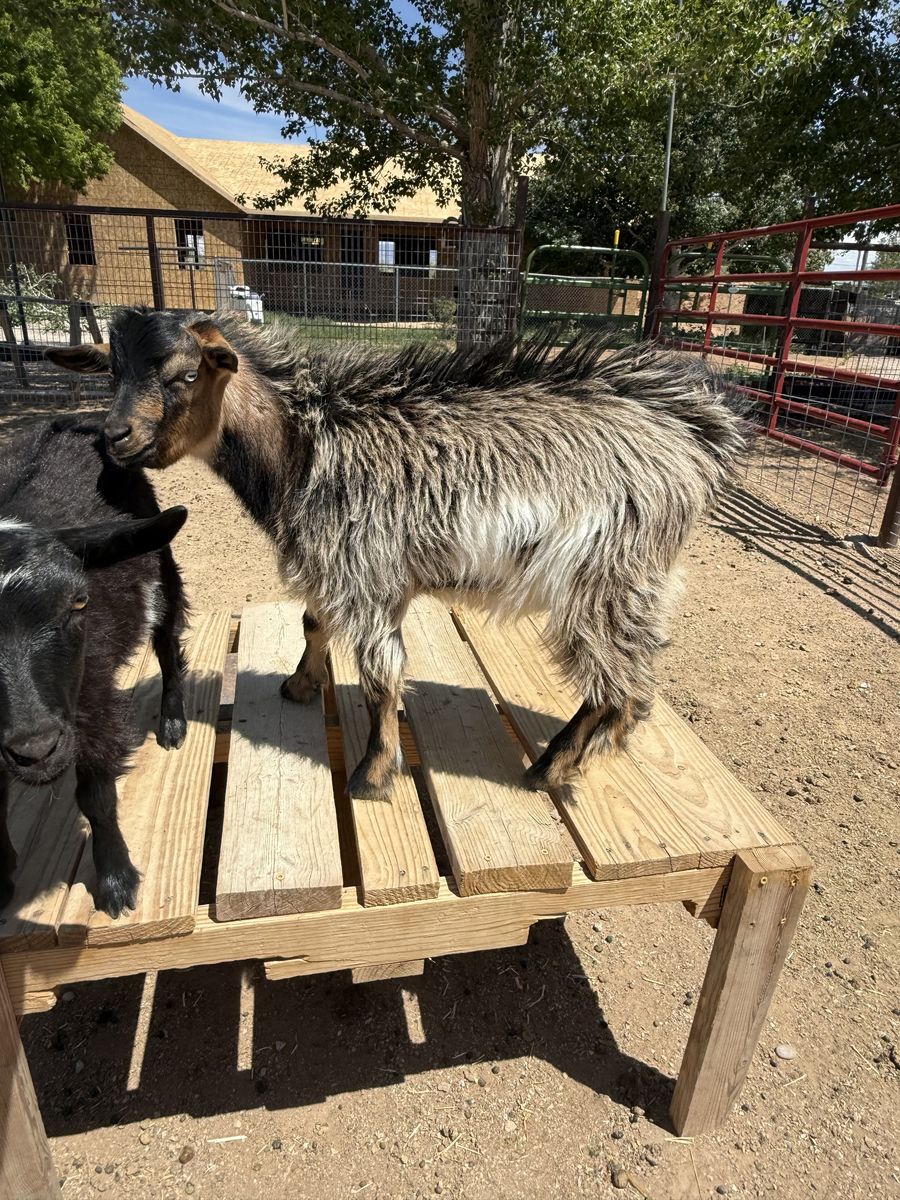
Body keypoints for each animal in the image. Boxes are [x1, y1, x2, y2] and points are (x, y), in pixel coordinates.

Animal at [0, 421, 188, 917]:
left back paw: (173, 722)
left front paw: (116, 882)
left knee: (167, 639)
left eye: (80, 601)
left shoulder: (92, 695)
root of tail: (66, 426)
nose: (37, 749)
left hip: (160, 560)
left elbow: (97, 796)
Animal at [48, 312, 745, 801]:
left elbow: (381, 679)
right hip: (633, 580)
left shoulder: (367, 570)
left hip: (603, 576)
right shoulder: (337, 567)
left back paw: (551, 767)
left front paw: (372, 774)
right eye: (110, 373)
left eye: (185, 374)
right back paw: (600, 746)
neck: (302, 447)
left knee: (615, 680)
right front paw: (300, 685)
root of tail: (694, 438)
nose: (114, 436)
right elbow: (313, 622)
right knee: (635, 673)